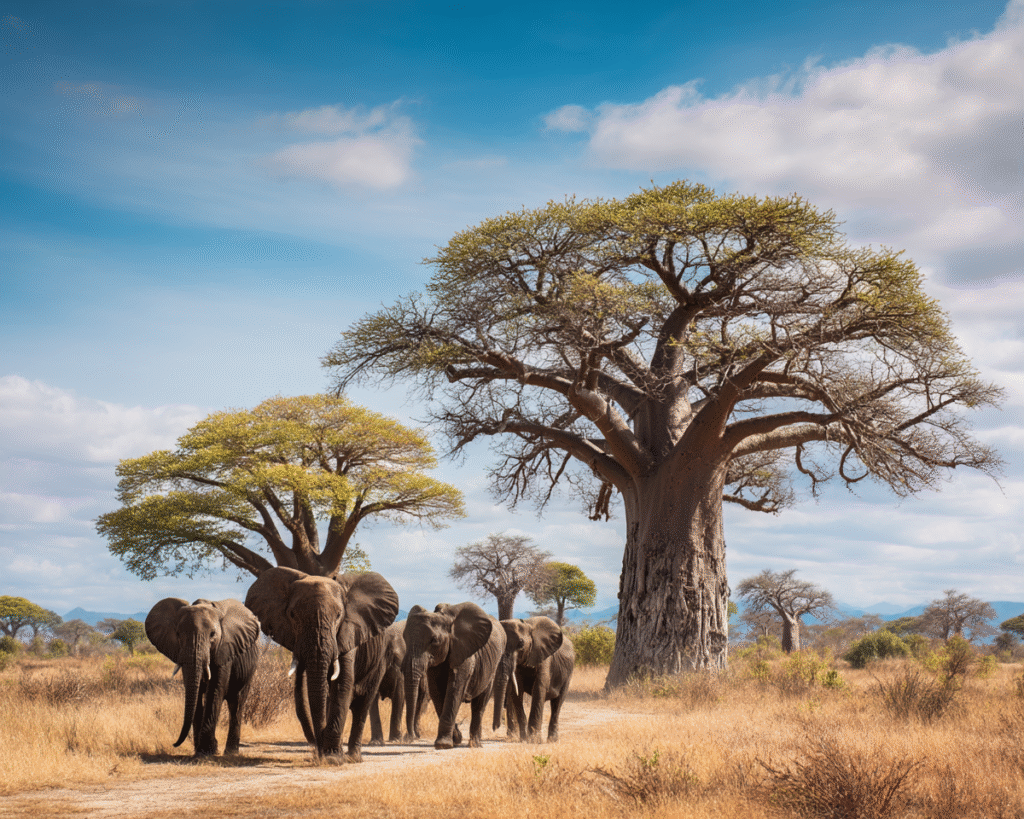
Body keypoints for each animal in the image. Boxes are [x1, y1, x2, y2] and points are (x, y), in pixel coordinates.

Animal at [145, 597, 261, 756]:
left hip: (249, 671)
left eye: (212, 634)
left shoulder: (224, 651)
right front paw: (200, 750)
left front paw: (208, 750)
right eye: (178, 634)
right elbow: (197, 693)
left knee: (236, 704)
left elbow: (215, 691)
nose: (174, 744)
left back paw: (231, 752)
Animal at [244, 566, 398, 758]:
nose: (318, 748)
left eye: (339, 615)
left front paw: (332, 758)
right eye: (292, 615)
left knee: (363, 703)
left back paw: (353, 757)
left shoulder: (347, 633)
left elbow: (342, 683)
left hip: (379, 659)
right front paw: (329, 754)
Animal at [403, 602, 506, 750]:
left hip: (492, 666)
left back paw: (475, 744)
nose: (411, 737)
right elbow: (436, 693)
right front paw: (456, 739)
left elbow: (455, 689)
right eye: (404, 637)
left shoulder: (464, 654)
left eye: (434, 640)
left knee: (480, 704)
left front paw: (443, 744)